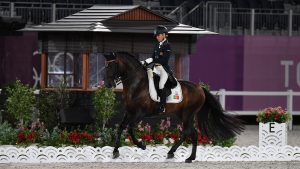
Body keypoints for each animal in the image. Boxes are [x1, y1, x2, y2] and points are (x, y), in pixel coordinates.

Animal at [103, 51, 244, 162]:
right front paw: (115, 152)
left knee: (187, 132)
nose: (108, 84)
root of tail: (200, 88)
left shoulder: (139, 113)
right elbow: (121, 127)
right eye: (106, 66)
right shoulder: (129, 112)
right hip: (182, 114)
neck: (137, 84)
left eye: (112, 65)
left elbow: (130, 128)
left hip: (188, 113)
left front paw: (141, 145)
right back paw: (190, 157)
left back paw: (172, 153)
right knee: (193, 133)